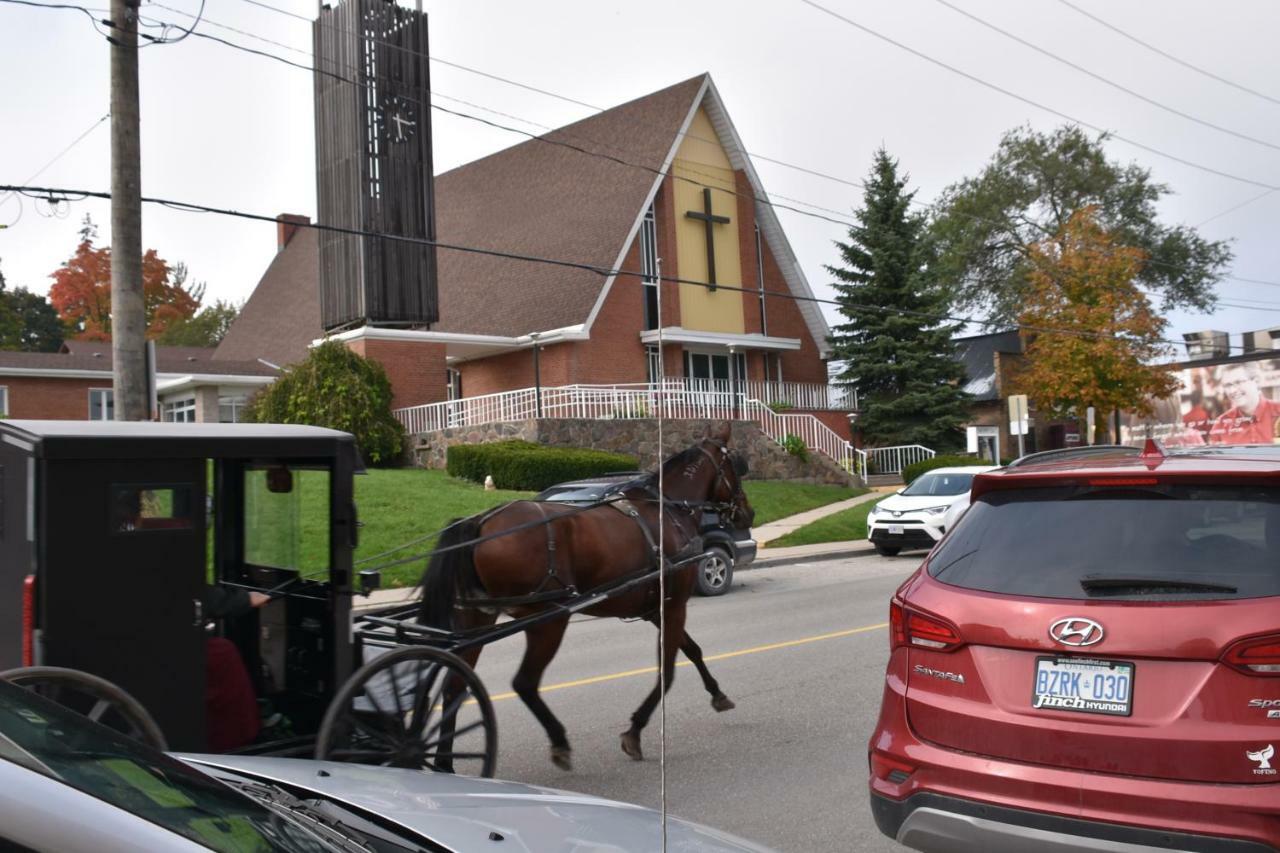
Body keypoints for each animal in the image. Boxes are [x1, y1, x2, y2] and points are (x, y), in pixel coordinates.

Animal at [419, 422, 752, 768]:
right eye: (736, 465)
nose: (747, 512)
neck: (668, 509)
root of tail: (480, 522)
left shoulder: (656, 610)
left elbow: (694, 650)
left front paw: (718, 694)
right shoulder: (673, 606)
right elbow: (669, 670)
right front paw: (634, 731)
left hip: (476, 616)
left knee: (455, 687)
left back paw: (443, 760)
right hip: (549, 619)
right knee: (523, 683)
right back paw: (558, 741)